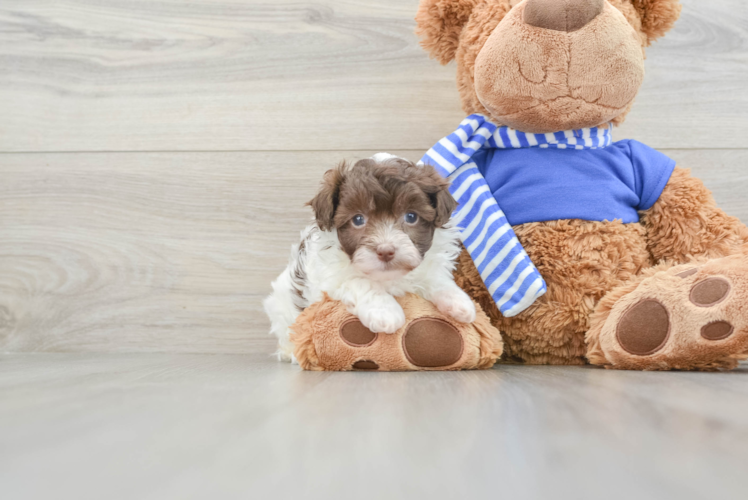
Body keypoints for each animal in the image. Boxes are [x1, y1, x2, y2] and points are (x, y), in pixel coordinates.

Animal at [264, 152, 474, 360]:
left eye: (411, 216)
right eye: (358, 219)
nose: (385, 251)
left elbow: (436, 278)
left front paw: (459, 301)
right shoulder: (330, 277)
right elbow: (359, 281)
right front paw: (385, 311)